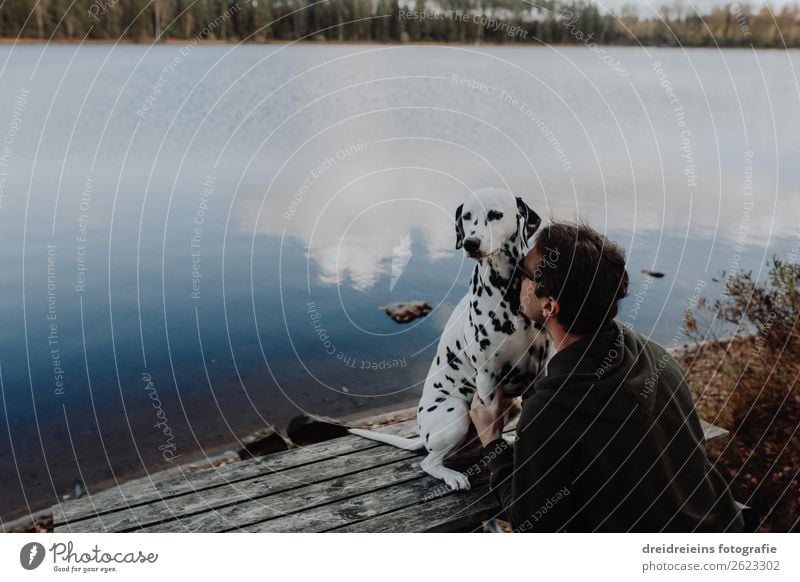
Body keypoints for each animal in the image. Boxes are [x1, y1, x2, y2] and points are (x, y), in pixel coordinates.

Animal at [346, 187, 552, 492]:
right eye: (466, 216)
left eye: (495, 214)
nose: (470, 243)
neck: (508, 291)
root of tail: (424, 436)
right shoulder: (487, 379)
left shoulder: (538, 371)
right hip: (455, 415)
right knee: (429, 462)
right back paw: (453, 475)